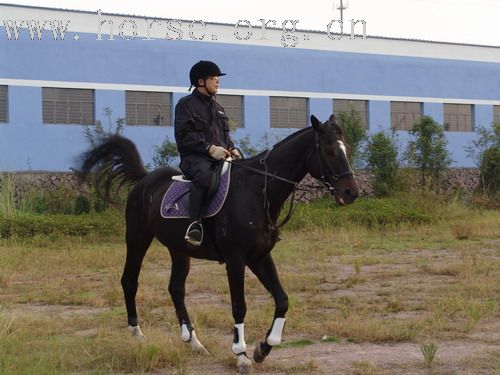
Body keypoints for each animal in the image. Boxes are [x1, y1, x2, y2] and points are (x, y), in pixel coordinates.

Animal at [77, 114, 360, 374]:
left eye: (346, 148)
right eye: (330, 150)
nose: (351, 193)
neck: (257, 191)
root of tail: (145, 181)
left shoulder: (260, 257)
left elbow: (282, 300)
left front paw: (263, 348)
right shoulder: (236, 261)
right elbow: (239, 306)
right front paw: (241, 355)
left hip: (179, 250)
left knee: (176, 289)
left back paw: (194, 342)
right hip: (137, 238)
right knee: (129, 280)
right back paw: (137, 334)